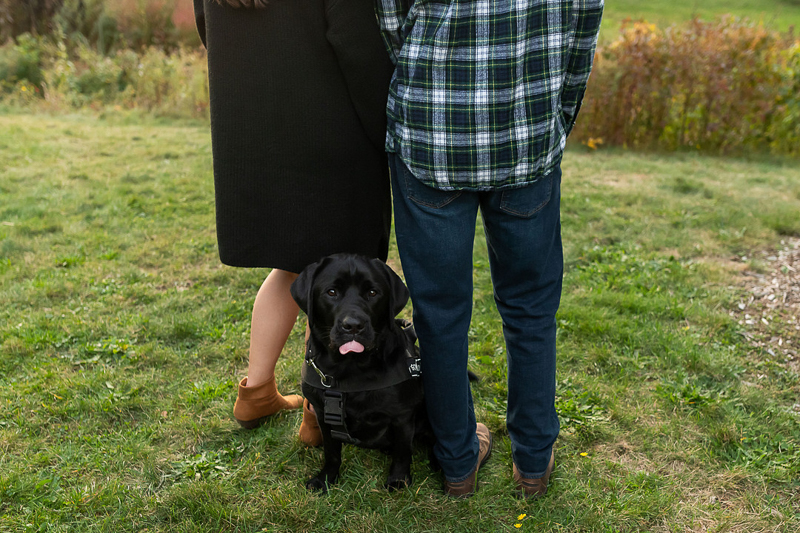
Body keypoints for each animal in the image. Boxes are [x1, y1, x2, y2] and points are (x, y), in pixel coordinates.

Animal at [291, 254, 432, 492]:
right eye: (331, 292)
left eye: (373, 293)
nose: (353, 325)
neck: (351, 369)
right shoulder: (323, 414)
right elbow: (331, 452)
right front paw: (326, 478)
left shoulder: (402, 416)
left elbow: (402, 451)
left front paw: (398, 480)